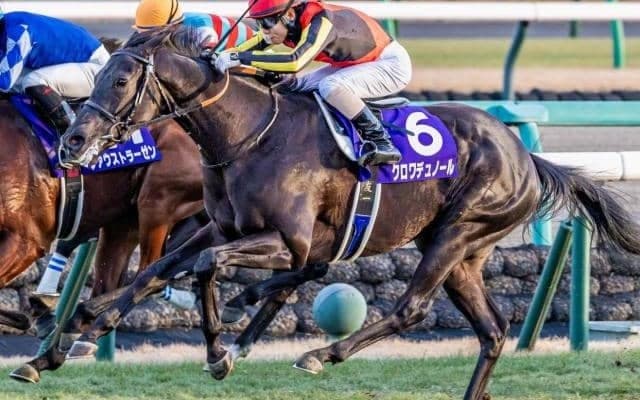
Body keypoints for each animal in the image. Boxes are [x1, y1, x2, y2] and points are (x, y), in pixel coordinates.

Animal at [58, 26, 640, 400]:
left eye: (119, 81)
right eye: (98, 77)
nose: (74, 140)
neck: (248, 134)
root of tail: (527, 155)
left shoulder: (286, 240)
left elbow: (206, 267)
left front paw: (218, 350)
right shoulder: (222, 227)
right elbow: (159, 270)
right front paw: (91, 321)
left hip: (457, 232)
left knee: (411, 309)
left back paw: (320, 353)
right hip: (463, 254)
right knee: (492, 331)